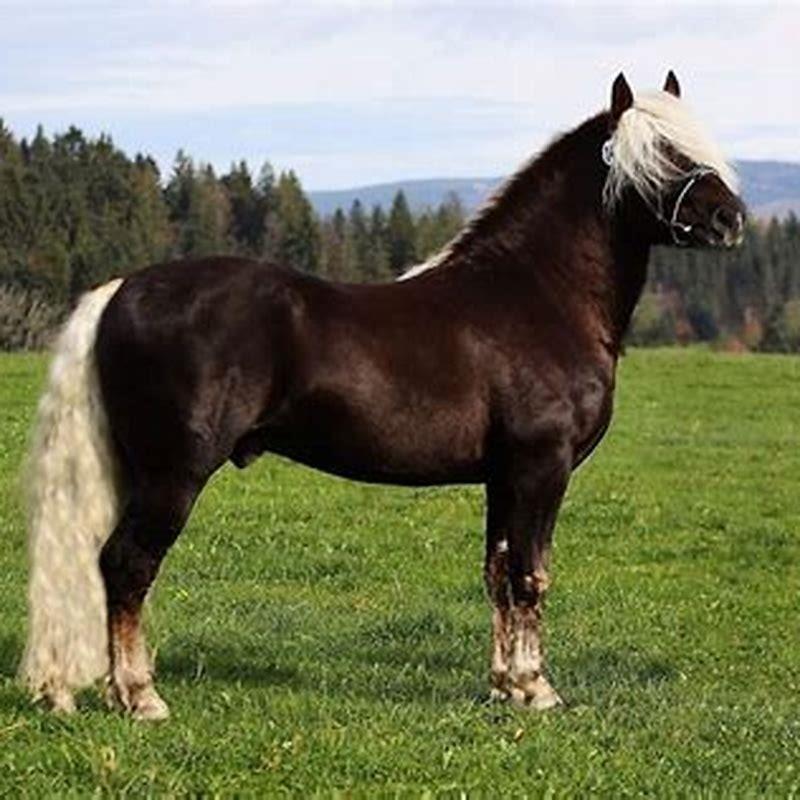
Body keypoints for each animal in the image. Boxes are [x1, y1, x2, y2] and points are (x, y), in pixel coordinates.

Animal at [20, 71, 745, 720]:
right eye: (664, 153)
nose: (730, 218)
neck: (536, 295)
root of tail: (122, 288)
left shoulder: (504, 477)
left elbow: (497, 577)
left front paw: (503, 688)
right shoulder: (543, 467)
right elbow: (530, 577)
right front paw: (537, 690)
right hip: (174, 474)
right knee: (128, 565)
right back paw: (140, 697)